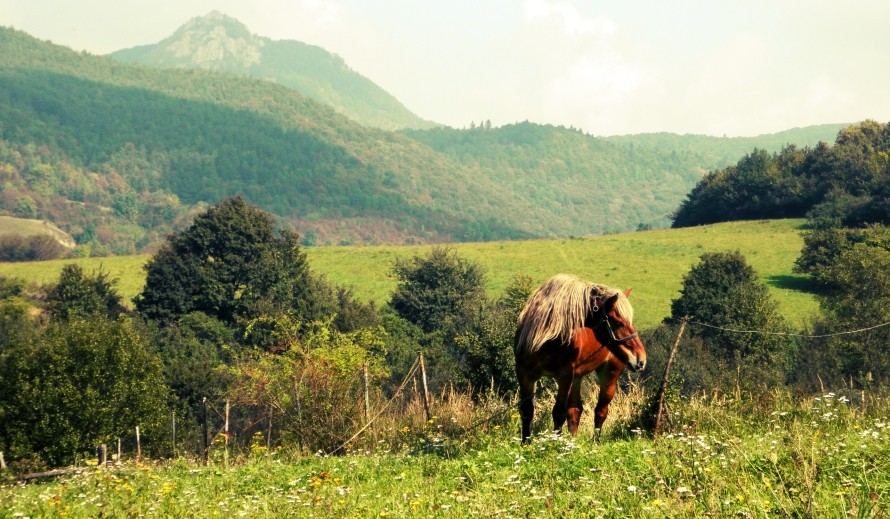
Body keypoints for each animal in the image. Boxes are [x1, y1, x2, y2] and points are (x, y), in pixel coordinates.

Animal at [512, 274, 644, 440]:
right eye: (620, 323)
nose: (641, 359)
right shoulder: (525, 374)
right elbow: (527, 411)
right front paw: (526, 443)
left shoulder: (565, 376)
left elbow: (559, 412)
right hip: (577, 377)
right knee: (575, 411)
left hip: (609, 375)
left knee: (601, 411)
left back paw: (595, 442)